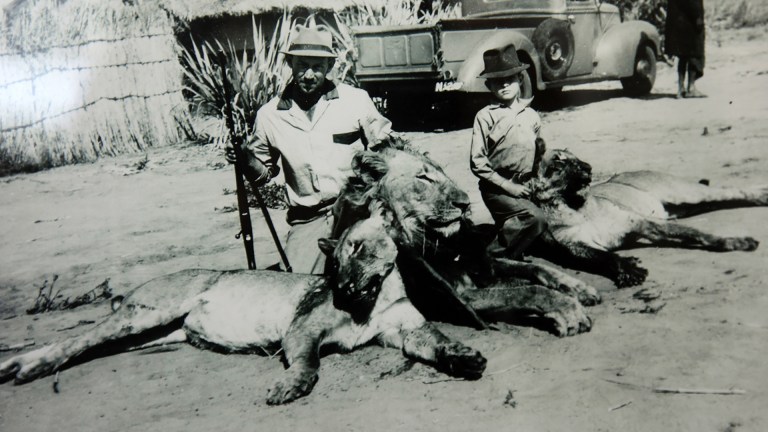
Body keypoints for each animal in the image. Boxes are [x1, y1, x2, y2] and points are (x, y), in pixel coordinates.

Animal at [0, 215, 484, 404]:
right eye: (337, 259)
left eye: (361, 249)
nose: (344, 286)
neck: (375, 297)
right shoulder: (300, 331)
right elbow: (309, 364)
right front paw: (289, 387)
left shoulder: (406, 331)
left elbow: (438, 341)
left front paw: (465, 358)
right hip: (147, 312)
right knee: (75, 339)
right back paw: (24, 366)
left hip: (153, 333)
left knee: (93, 345)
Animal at [524, 148, 764, 286]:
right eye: (558, 164)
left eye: (578, 158)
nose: (588, 167)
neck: (575, 205)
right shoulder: (574, 246)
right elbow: (606, 257)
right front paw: (629, 269)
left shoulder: (641, 222)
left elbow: (696, 233)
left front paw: (736, 242)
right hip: (685, 206)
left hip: (687, 193)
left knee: (734, 192)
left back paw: (763, 195)